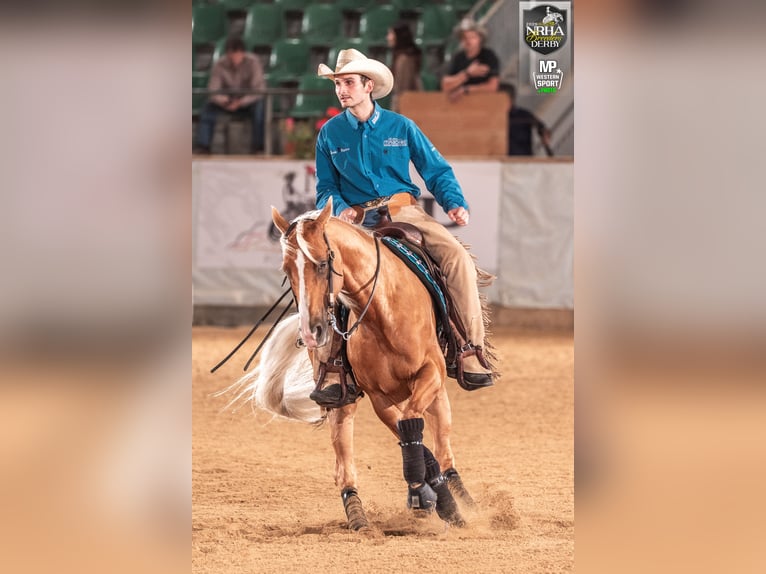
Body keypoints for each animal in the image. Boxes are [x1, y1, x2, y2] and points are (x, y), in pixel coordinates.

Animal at [226, 197, 481, 530]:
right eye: (286, 268)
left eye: (323, 263)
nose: (311, 332)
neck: (384, 312)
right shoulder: (378, 395)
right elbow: (407, 431)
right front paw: (425, 495)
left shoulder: (430, 374)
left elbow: (413, 427)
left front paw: (440, 500)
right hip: (341, 399)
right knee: (345, 459)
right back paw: (360, 516)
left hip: (436, 391)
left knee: (443, 442)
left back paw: (461, 496)